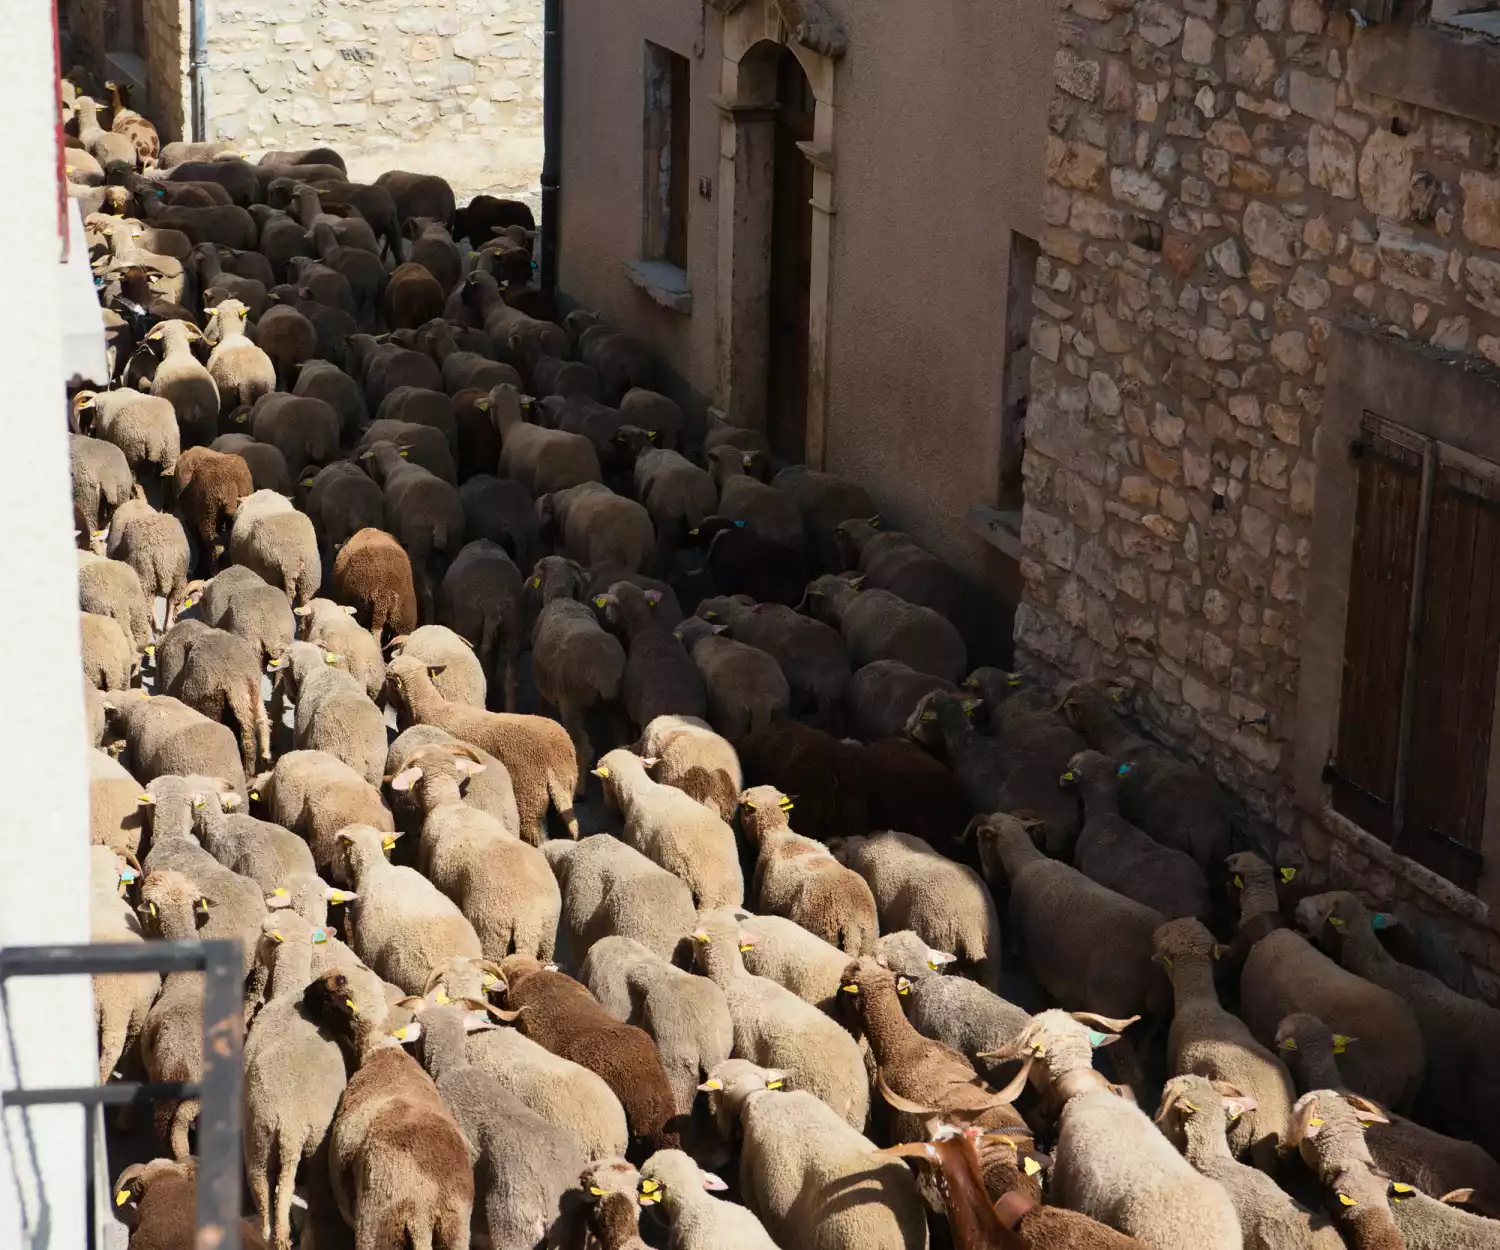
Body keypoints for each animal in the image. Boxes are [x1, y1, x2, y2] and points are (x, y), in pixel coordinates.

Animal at [107, 496, 191, 632]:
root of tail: (162, 553)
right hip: (179, 574)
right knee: (172, 600)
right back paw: (167, 627)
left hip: (145, 575)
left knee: (148, 604)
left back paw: (155, 627)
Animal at [242, 912, 347, 1249]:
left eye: (264, 931)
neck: (288, 991)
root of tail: (292, 1123)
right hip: (317, 1145)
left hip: (258, 1139)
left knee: (264, 1199)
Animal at [275, 640, 386, 784]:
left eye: (285, 670)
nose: (288, 695)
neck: (315, 669)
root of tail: (359, 759)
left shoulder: (299, 735)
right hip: (375, 775)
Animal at [301, 970, 474, 1250]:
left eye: (325, 991)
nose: (303, 996)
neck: (380, 1048)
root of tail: (423, 1210)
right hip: (455, 1232)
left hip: (378, 1226)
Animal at [969, 812, 1169, 1025]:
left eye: (981, 839)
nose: (986, 875)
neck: (1026, 862)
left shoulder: (1033, 967)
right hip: (1156, 1015)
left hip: (1112, 1004)